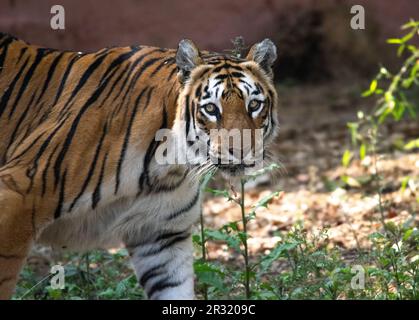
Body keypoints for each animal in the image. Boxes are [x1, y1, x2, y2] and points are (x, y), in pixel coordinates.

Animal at [0, 33, 278, 302]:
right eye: (211, 108)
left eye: (254, 105)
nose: (241, 150)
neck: (171, 167)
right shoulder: (16, 196)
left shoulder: (160, 236)